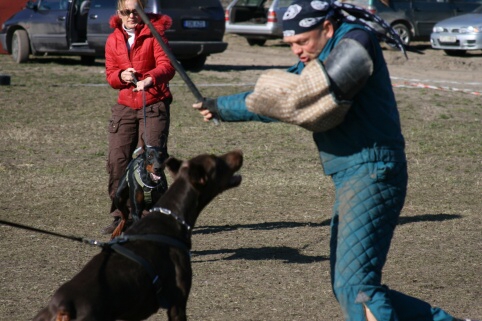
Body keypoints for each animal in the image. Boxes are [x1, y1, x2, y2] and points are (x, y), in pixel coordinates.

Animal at [32, 149, 243, 320]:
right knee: (123, 214)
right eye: (216, 161)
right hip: (119, 197)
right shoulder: (177, 303)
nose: (239, 152)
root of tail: (64, 307)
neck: (169, 214)